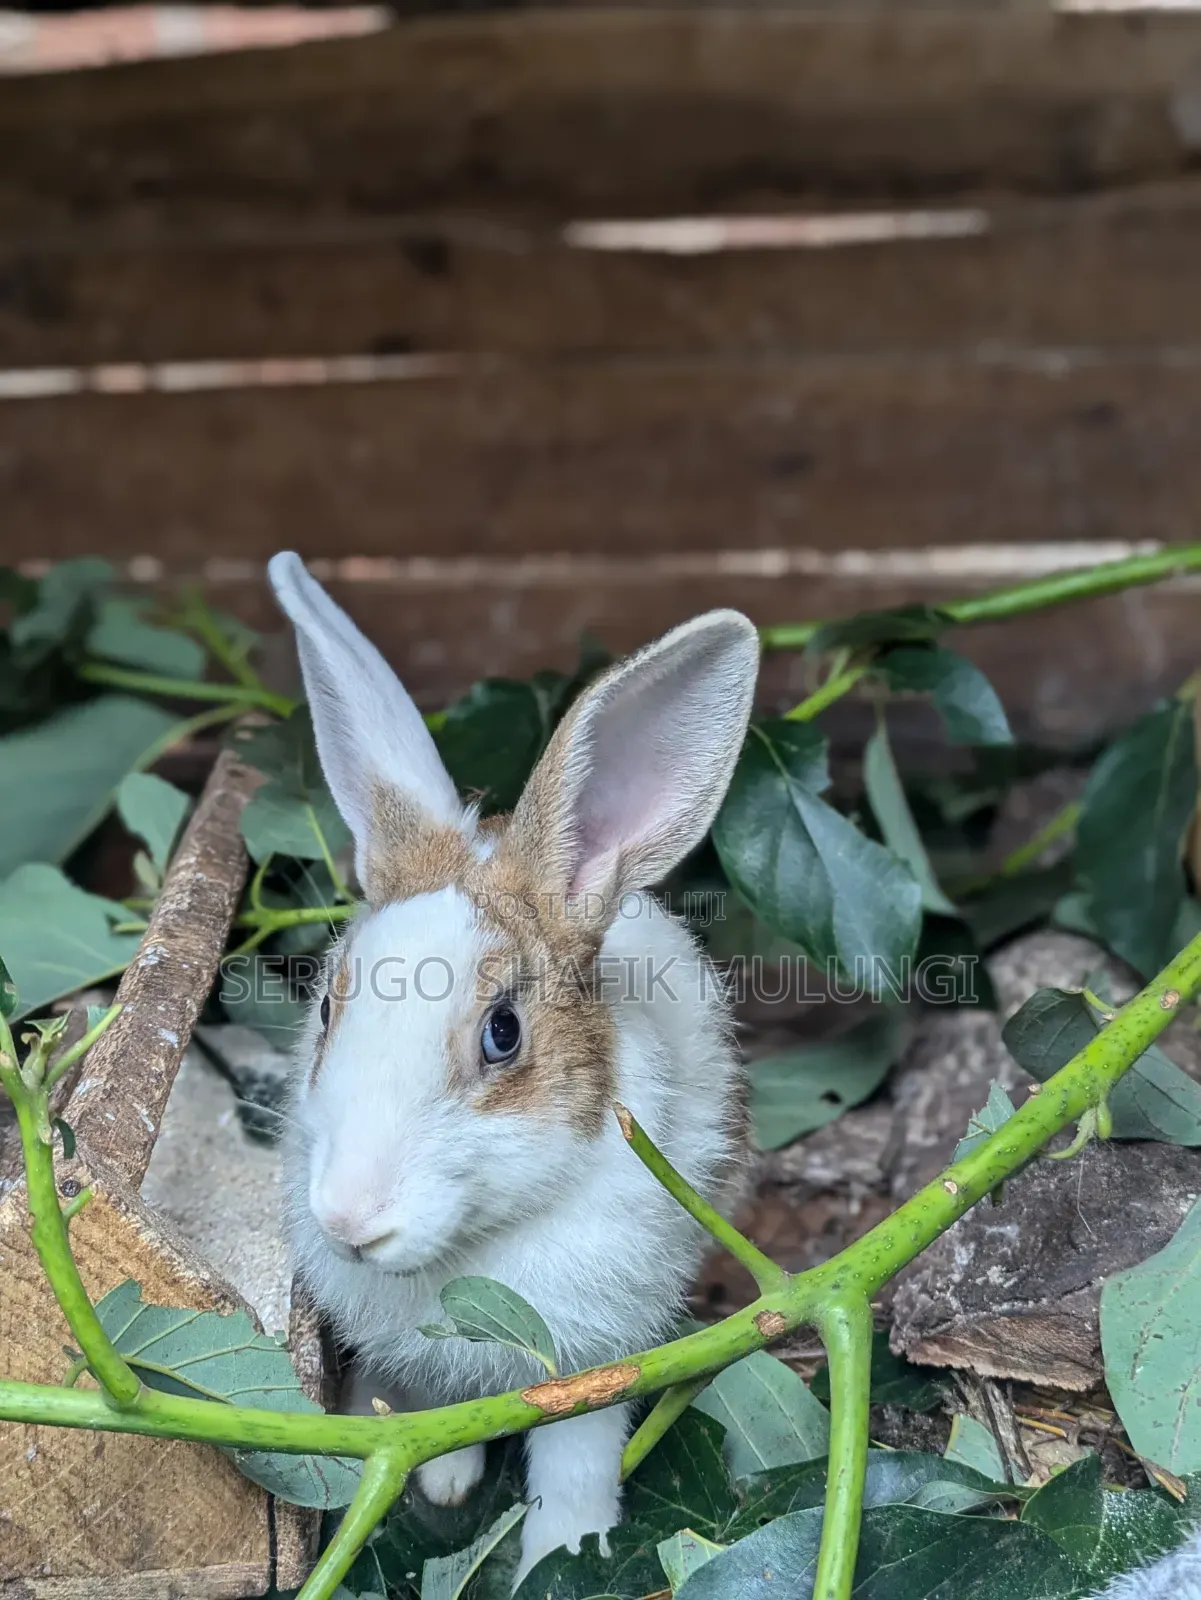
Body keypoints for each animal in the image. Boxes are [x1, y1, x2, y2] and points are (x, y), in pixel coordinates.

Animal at [266, 553, 758, 1589]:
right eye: (327, 1006)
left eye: (502, 1034)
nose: (349, 1221)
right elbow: (403, 1409)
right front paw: (434, 1479)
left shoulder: (593, 1358)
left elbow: (574, 1465)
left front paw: (560, 1555)